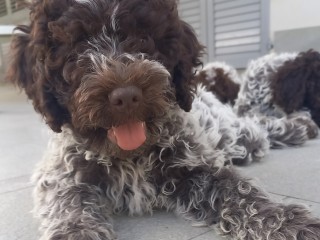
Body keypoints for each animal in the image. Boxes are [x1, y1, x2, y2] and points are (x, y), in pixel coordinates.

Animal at [6, 0, 320, 240]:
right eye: (76, 49)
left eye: (143, 38)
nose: (126, 97)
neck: (128, 156)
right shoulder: (61, 176)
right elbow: (69, 207)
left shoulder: (194, 167)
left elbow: (239, 191)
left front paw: (284, 221)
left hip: (233, 135)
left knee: (258, 130)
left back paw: (301, 126)